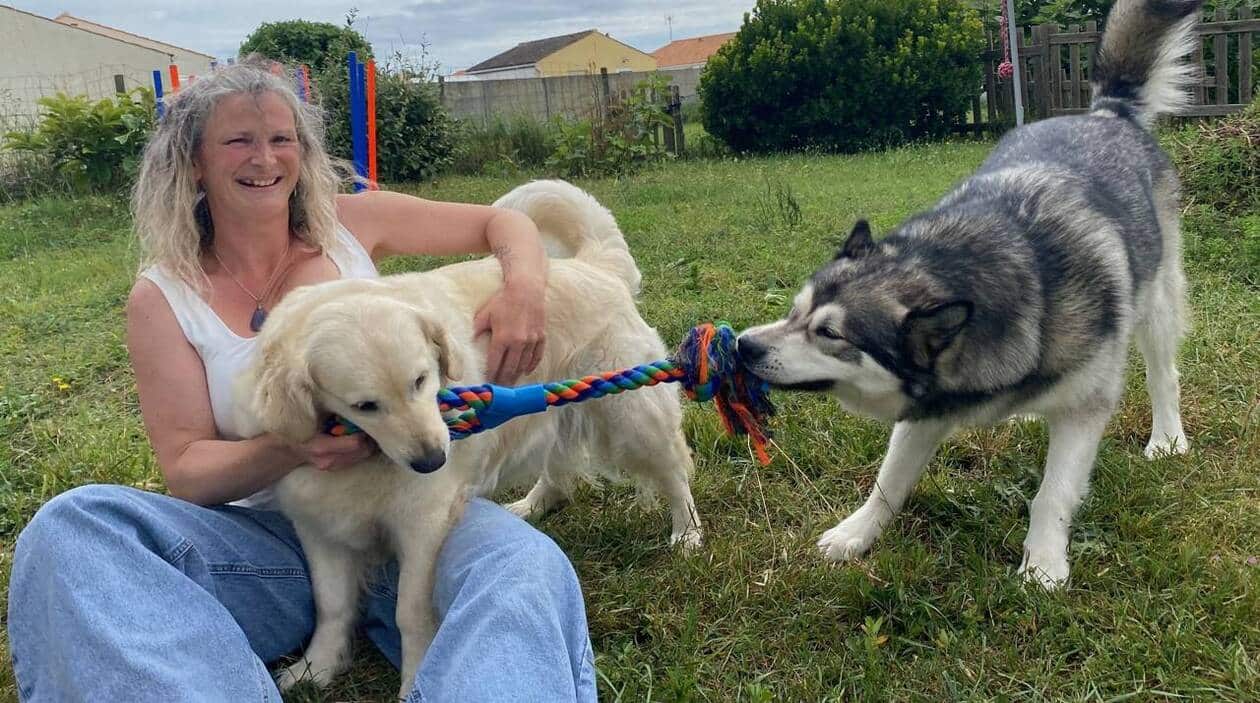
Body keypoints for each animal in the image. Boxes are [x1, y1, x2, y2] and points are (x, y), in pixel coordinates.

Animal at [240, 180, 695, 700]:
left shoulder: (423, 523)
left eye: (422, 380)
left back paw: (687, 533)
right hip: (544, 407)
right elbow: (331, 606)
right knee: (558, 471)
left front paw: (415, 677)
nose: (433, 460)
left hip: (633, 418)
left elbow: (410, 612)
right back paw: (533, 504)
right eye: (365, 405)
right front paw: (316, 668)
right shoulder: (319, 527)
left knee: (675, 472)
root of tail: (593, 266)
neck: (370, 457)